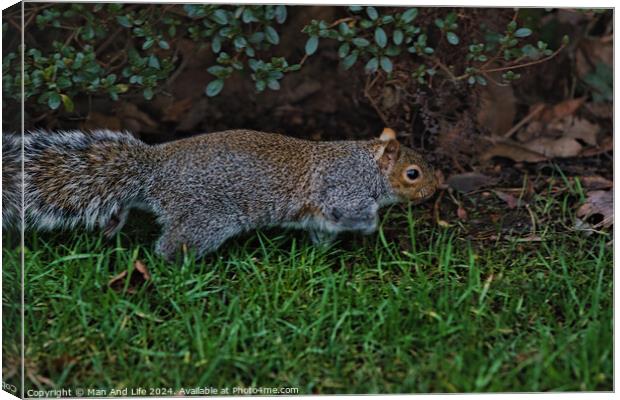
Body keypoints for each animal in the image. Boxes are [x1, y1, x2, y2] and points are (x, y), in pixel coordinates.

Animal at [1, 128, 436, 260]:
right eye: (412, 173)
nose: (438, 187)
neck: (367, 165)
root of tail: (154, 170)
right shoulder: (342, 190)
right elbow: (351, 213)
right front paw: (372, 226)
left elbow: (320, 233)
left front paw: (320, 255)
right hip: (207, 219)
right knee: (170, 245)